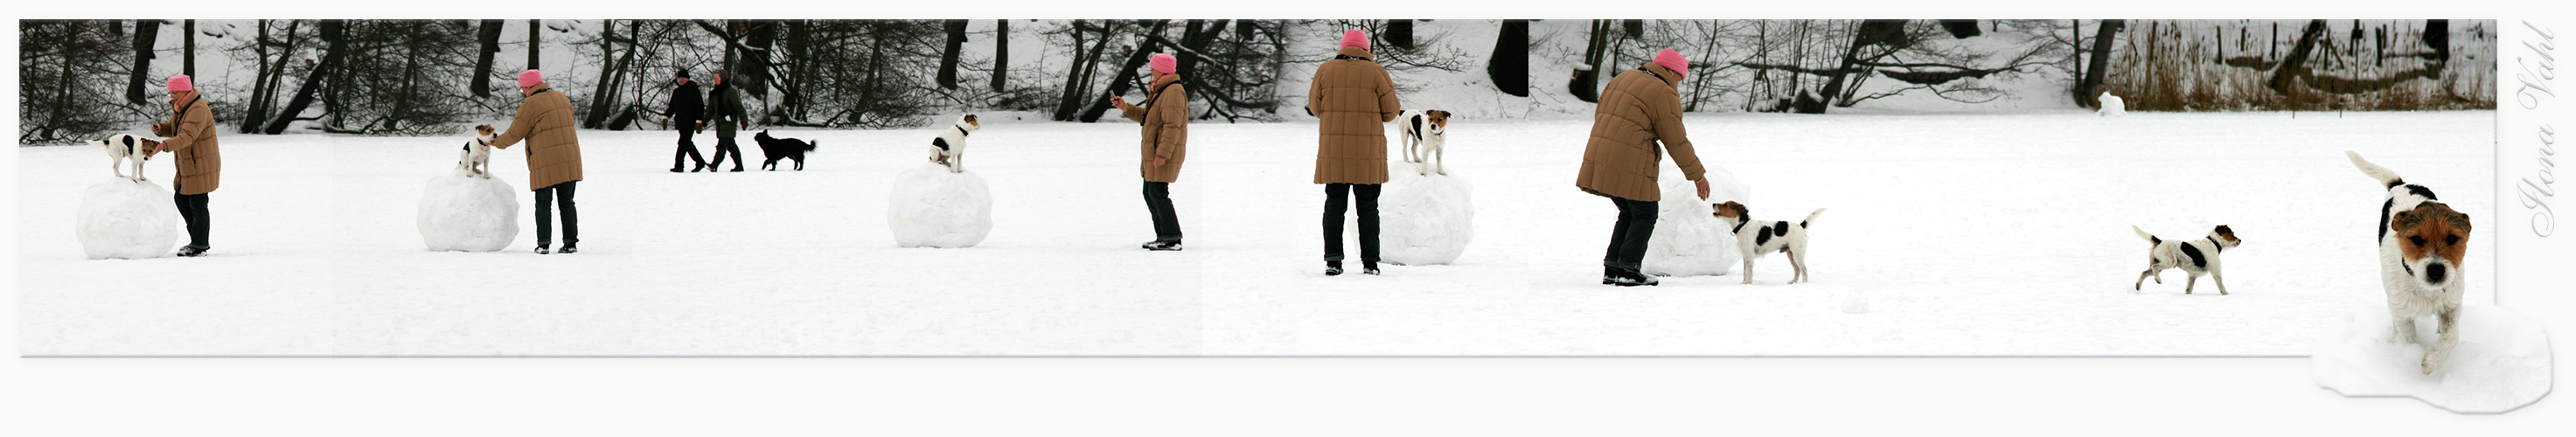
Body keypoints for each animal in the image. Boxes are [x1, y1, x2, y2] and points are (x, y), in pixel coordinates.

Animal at [2122, 225, 2245, 293]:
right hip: (2170, 262)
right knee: (2154, 267)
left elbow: (2189, 288)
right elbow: (2221, 285)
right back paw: (2158, 280)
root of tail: (2160, 241)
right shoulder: (2216, 271)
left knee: (2145, 272)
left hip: (2160, 263)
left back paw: (2138, 286)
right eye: (2232, 233)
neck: (2214, 242)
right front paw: (2226, 294)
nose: (2240, 240)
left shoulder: (2193, 275)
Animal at [2349, 150, 2462, 375]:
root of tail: (2401, 184)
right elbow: (2408, 339)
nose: (2437, 271)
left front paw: (2432, 360)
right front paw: (2411, 358)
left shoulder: (2452, 305)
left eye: (2452, 239)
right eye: (2416, 239)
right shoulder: (2402, 313)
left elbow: (2453, 335)